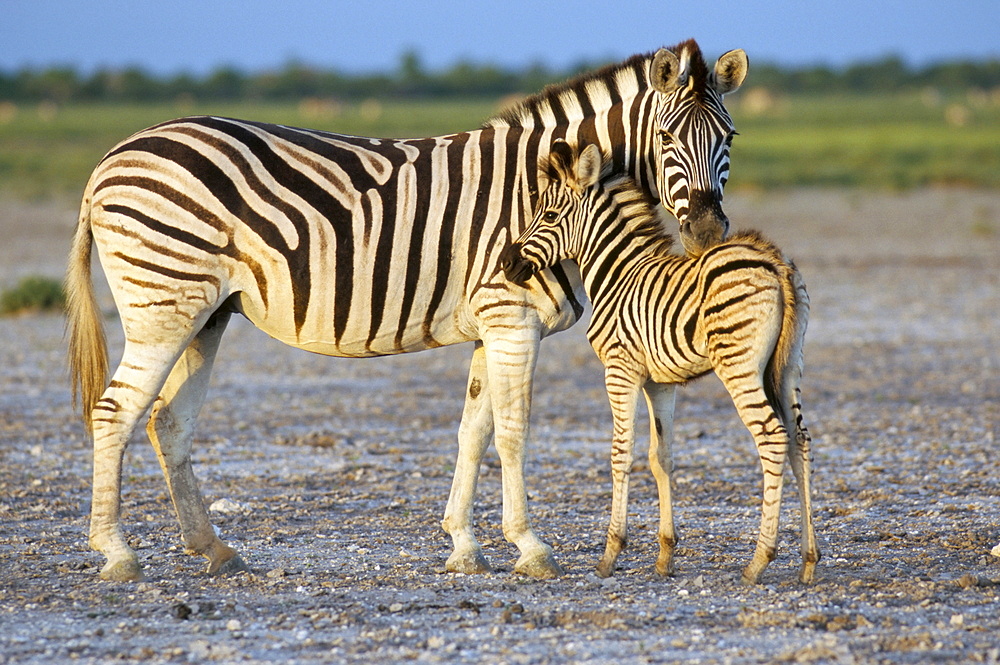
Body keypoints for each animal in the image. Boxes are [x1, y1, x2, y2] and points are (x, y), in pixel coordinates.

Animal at [66, 39, 748, 580]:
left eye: (730, 138)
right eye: (666, 138)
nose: (708, 234)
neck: (546, 188)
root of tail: (109, 160)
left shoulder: (489, 326)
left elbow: (473, 431)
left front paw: (464, 545)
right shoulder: (511, 317)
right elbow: (513, 430)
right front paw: (530, 547)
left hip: (204, 314)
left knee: (167, 421)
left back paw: (212, 549)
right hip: (163, 305)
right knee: (114, 413)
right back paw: (117, 553)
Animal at [500, 140, 820, 580]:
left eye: (548, 215)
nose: (506, 264)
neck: (618, 274)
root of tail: (774, 261)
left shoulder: (619, 370)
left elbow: (620, 452)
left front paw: (611, 552)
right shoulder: (660, 382)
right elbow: (660, 457)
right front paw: (665, 555)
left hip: (739, 366)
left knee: (772, 437)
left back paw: (758, 561)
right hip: (788, 366)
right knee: (799, 440)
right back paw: (808, 561)